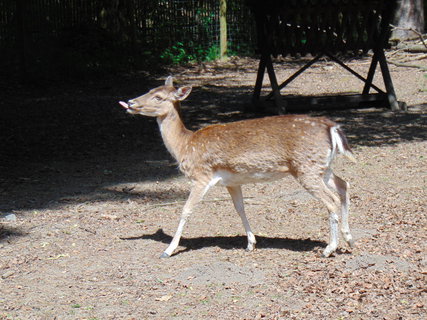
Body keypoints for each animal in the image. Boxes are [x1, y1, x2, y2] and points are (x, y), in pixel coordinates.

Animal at [118, 76, 356, 258]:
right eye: (149, 90)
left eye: (159, 97)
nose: (130, 102)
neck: (185, 146)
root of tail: (332, 127)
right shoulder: (232, 181)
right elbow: (240, 208)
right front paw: (251, 243)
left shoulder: (201, 176)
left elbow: (186, 210)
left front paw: (168, 250)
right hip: (321, 167)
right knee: (344, 185)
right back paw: (350, 239)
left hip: (306, 168)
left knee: (332, 199)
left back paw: (329, 249)